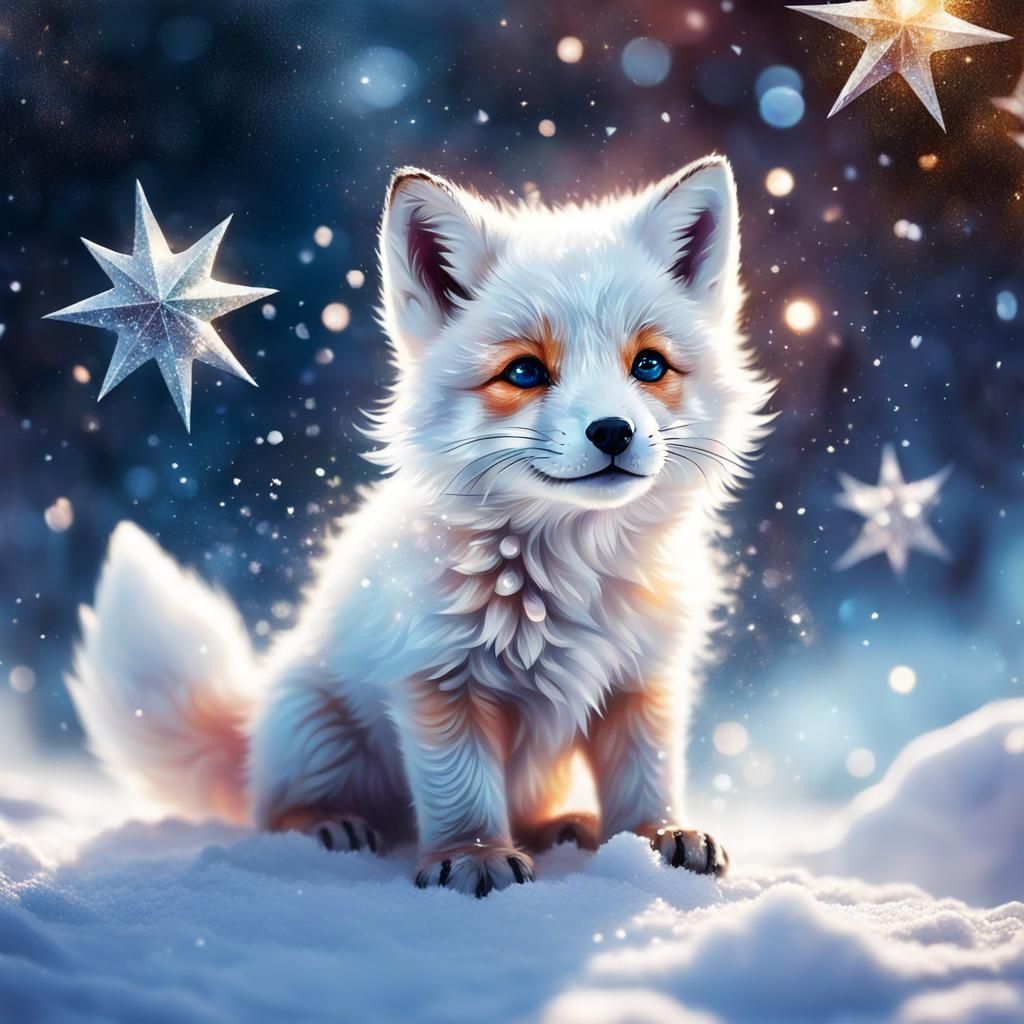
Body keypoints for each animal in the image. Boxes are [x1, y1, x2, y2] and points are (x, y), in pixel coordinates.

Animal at [69, 155, 774, 896]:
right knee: (277, 811)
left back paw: (565, 827)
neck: (569, 575)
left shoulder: (641, 682)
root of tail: (253, 725)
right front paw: (474, 857)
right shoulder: (437, 680)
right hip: (316, 730)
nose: (613, 431)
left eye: (649, 365)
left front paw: (655, 839)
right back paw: (329, 826)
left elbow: (645, 779)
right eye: (525, 371)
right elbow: (462, 789)